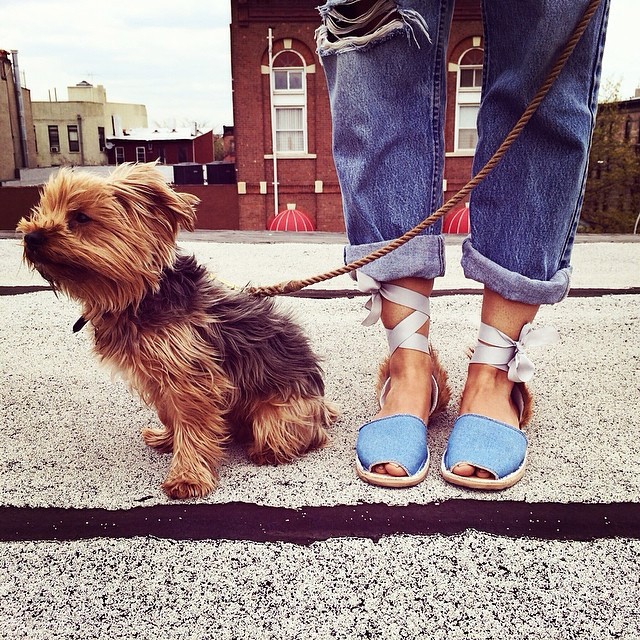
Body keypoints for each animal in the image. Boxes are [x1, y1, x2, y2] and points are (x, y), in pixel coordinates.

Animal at [17, 163, 338, 499]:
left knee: (295, 434)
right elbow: (170, 414)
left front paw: (188, 476)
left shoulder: (192, 378)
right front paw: (169, 439)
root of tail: (322, 406)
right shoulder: (158, 379)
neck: (139, 294)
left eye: (80, 217)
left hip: (281, 411)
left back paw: (269, 450)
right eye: (43, 209)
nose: (31, 236)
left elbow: (193, 425)